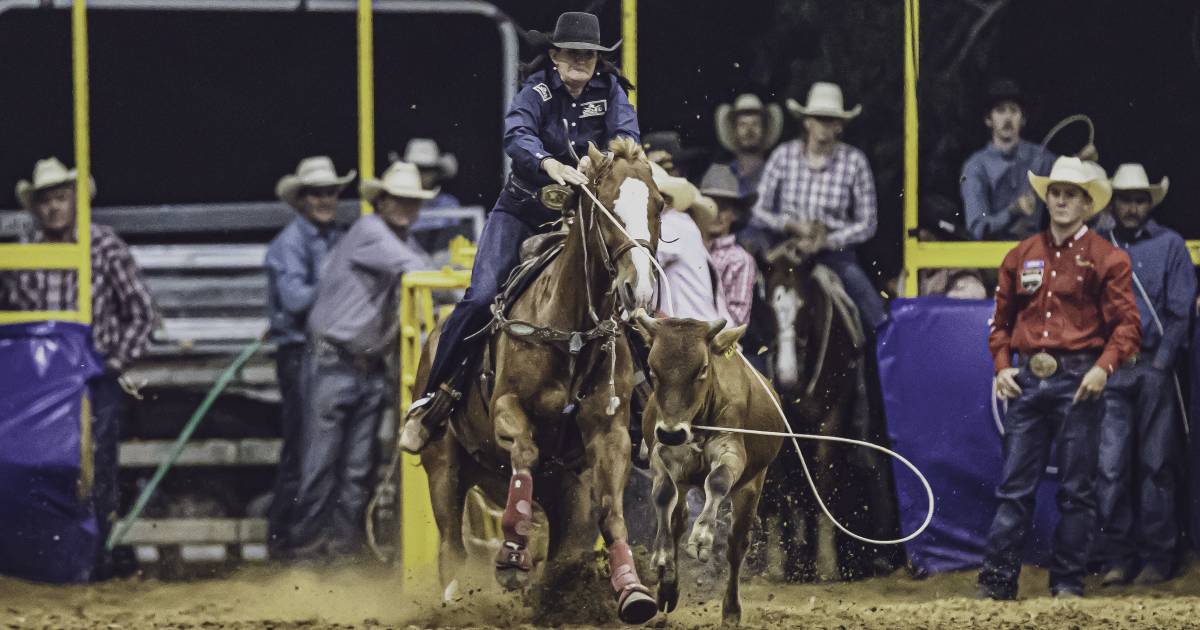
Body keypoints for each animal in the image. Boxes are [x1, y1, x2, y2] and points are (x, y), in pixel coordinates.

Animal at [415, 138, 667, 624]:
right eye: (605, 206)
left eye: (658, 205)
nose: (640, 289)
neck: (569, 329)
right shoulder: (507, 407)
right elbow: (526, 452)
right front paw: (513, 553)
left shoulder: (609, 435)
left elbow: (613, 512)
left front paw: (632, 590)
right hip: (443, 467)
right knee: (451, 547)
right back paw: (457, 603)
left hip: (568, 495)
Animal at [638, 314, 787, 624]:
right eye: (653, 368)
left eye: (703, 368)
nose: (672, 433)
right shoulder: (661, 453)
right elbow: (663, 493)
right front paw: (662, 556)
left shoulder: (732, 452)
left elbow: (717, 482)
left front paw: (702, 537)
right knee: (678, 519)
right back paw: (668, 587)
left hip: (752, 485)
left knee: (736, 544)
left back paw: (731, 610)